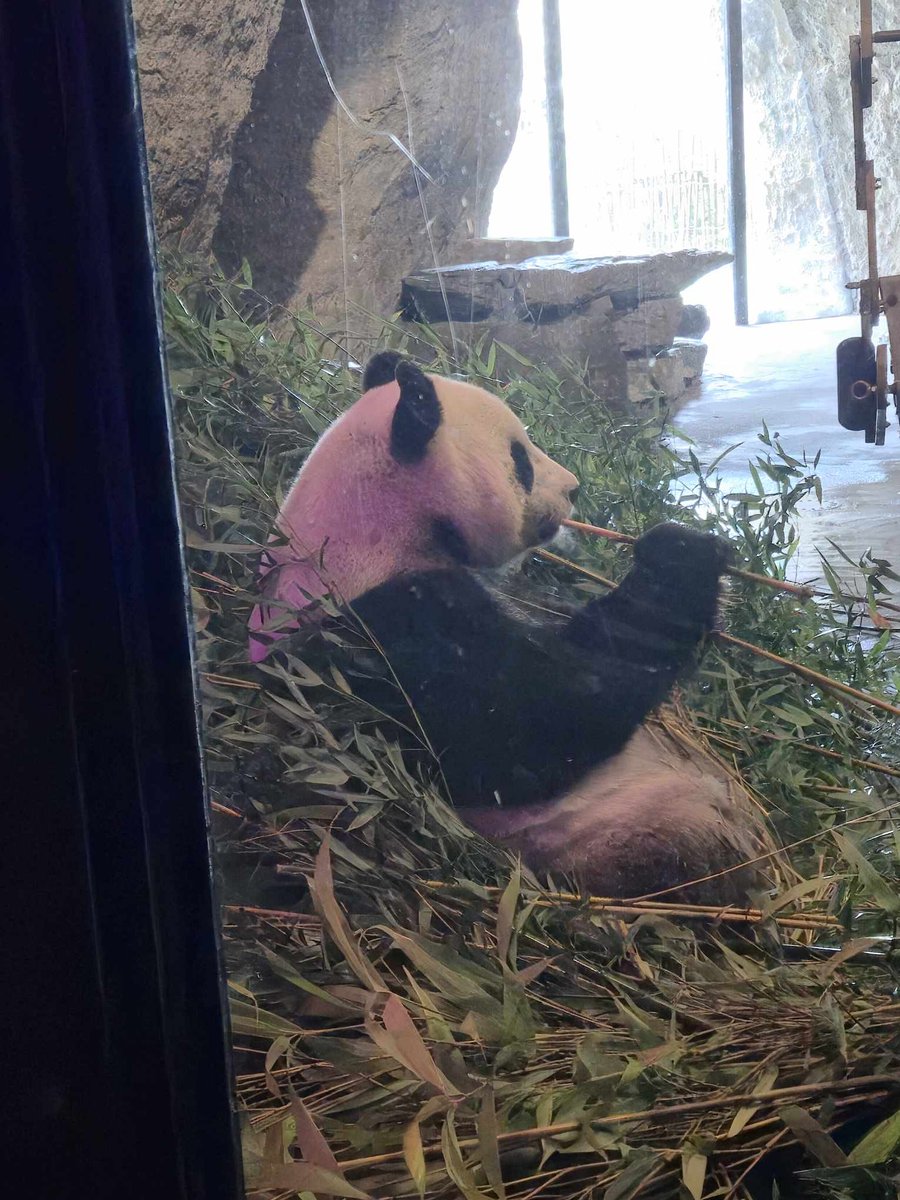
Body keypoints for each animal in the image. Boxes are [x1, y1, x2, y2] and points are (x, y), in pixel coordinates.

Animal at [249, 351, 772, 904]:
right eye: (521, 458)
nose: (574, 487)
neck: (366, 530)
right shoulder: (386, 635)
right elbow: (540, 725)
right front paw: (682, 557)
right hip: (628, 839)